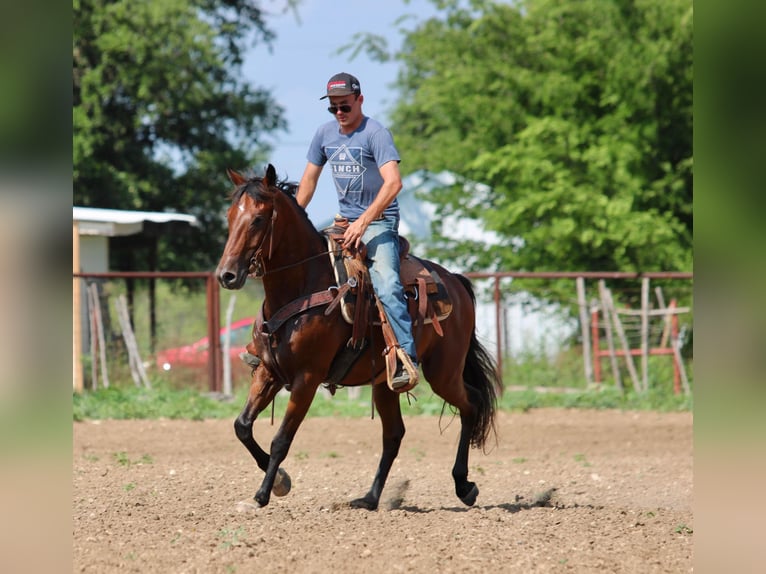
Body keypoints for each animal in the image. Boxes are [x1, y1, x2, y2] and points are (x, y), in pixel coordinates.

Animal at [216, 164, 504, 510]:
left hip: (443, 372)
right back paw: (369, 498)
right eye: (230, 216)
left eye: (258, 219)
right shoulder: (268, 370)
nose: (227, 275)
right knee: (394, 434)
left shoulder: (307, 378)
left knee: (471, 404)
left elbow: (281, 439)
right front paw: (281, 482)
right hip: (385, 382)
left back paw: (464, 485)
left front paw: (262, 495)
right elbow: (242, 426)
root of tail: (455, 281)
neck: (302, 286)